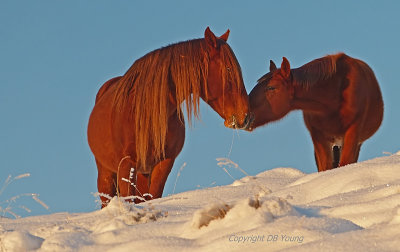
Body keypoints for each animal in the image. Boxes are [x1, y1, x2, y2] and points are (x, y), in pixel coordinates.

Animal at [88, 27, 253, 208]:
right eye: (229, 69)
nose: (246, 117)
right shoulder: (126, 164)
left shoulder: (164, 162)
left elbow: (153, 196)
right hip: (106, 173)